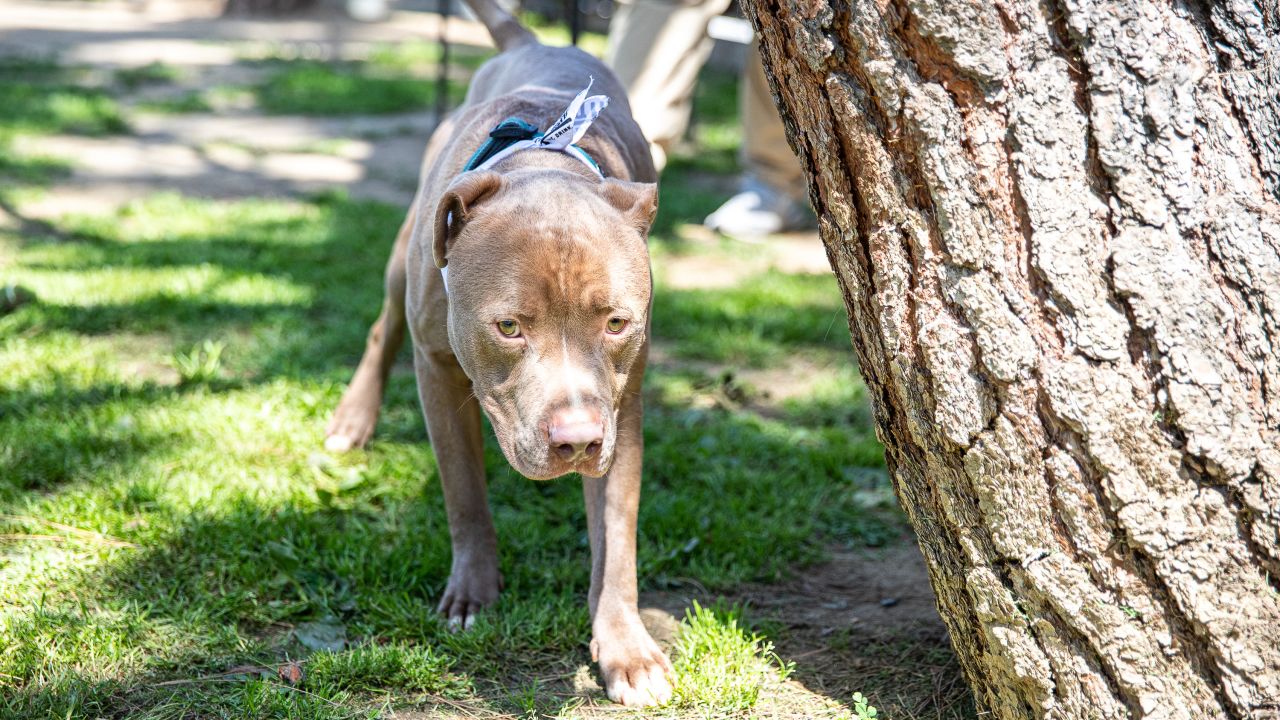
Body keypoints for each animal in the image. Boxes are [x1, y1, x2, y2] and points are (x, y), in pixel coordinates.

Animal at [322, 1, 670, 707]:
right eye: (508, 327)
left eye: (616, 322)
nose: (576, 440)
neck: (544, 167)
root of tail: (533, 41)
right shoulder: (436, 372)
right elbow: (465, 494)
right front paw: (472, 594)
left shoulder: (623, 409)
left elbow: (616, 535)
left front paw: (626, 646)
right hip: (407, 249)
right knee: (381, 328)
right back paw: (353, 419)